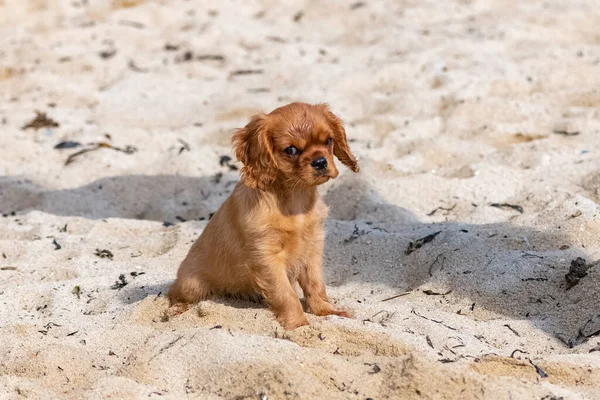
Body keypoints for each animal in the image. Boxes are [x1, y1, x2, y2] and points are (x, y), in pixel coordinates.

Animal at [166, 101, 358, 330]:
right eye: (291, 150)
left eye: (328, 141)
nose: (320, 162)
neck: (295, 199)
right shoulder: (267, 257)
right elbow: (286, 294)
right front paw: (299, 325)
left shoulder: (312, 249)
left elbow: (315, 284)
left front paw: (326, 311)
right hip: (191, 284)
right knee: (175, 295)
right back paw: (176, 310)